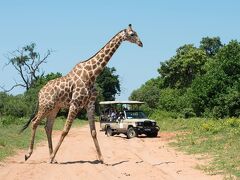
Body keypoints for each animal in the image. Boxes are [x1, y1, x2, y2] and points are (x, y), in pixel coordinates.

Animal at [20, 23, 142, 163]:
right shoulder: (75, 103)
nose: (141, 43)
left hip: (55, 108)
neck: (91, 74)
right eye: (132, 34)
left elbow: (93, 132)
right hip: (46, 105)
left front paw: (102, 159)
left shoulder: (90, 104)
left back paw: (51, 157)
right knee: (35, 122)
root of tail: (39, 93)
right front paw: (51, 157)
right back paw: (29, 154)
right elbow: (65, 130)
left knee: (48, 127)